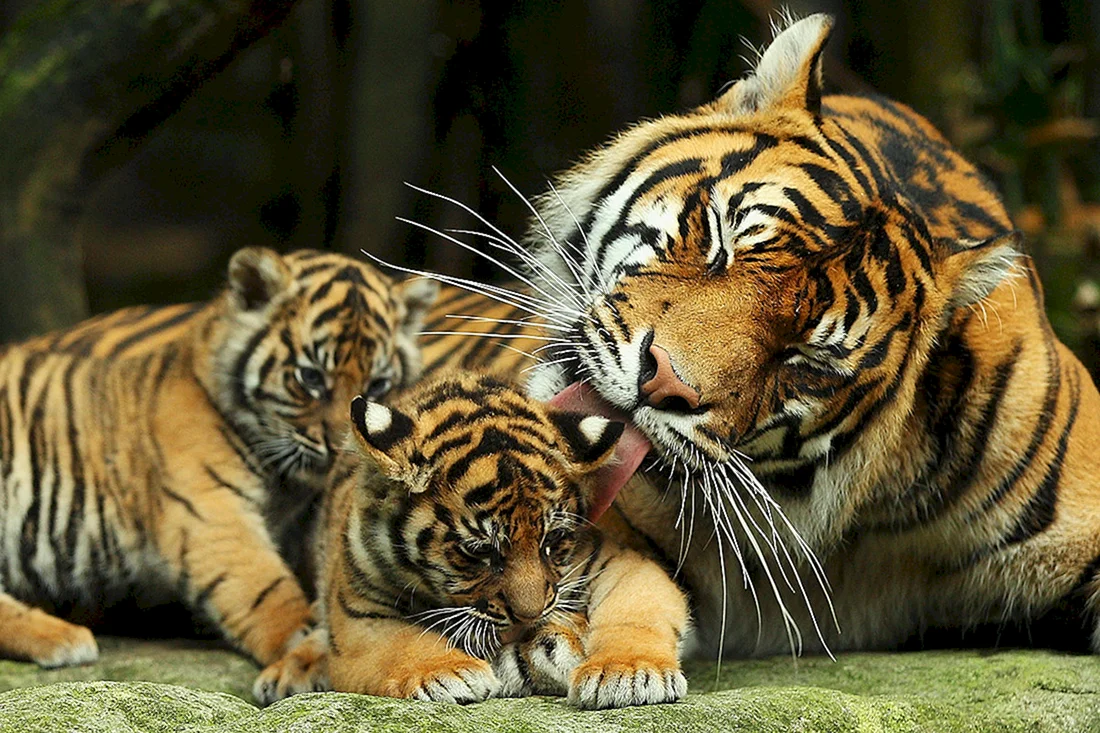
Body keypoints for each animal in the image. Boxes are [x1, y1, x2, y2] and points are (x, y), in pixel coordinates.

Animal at [0, 247, 437, 671]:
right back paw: (65, 640)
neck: (288, 488)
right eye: (310, 377)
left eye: (378, 384)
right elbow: (263, 586)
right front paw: (305, 636)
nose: (340, 446)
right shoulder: (209, 508)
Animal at [253, 372, 690, 709]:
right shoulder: (359, 612)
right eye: (479, 551)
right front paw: (449, 673)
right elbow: (401, 643)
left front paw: (628, 674)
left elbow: (635, 609)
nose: (529, 617)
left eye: (553, 540)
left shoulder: (620, 561)